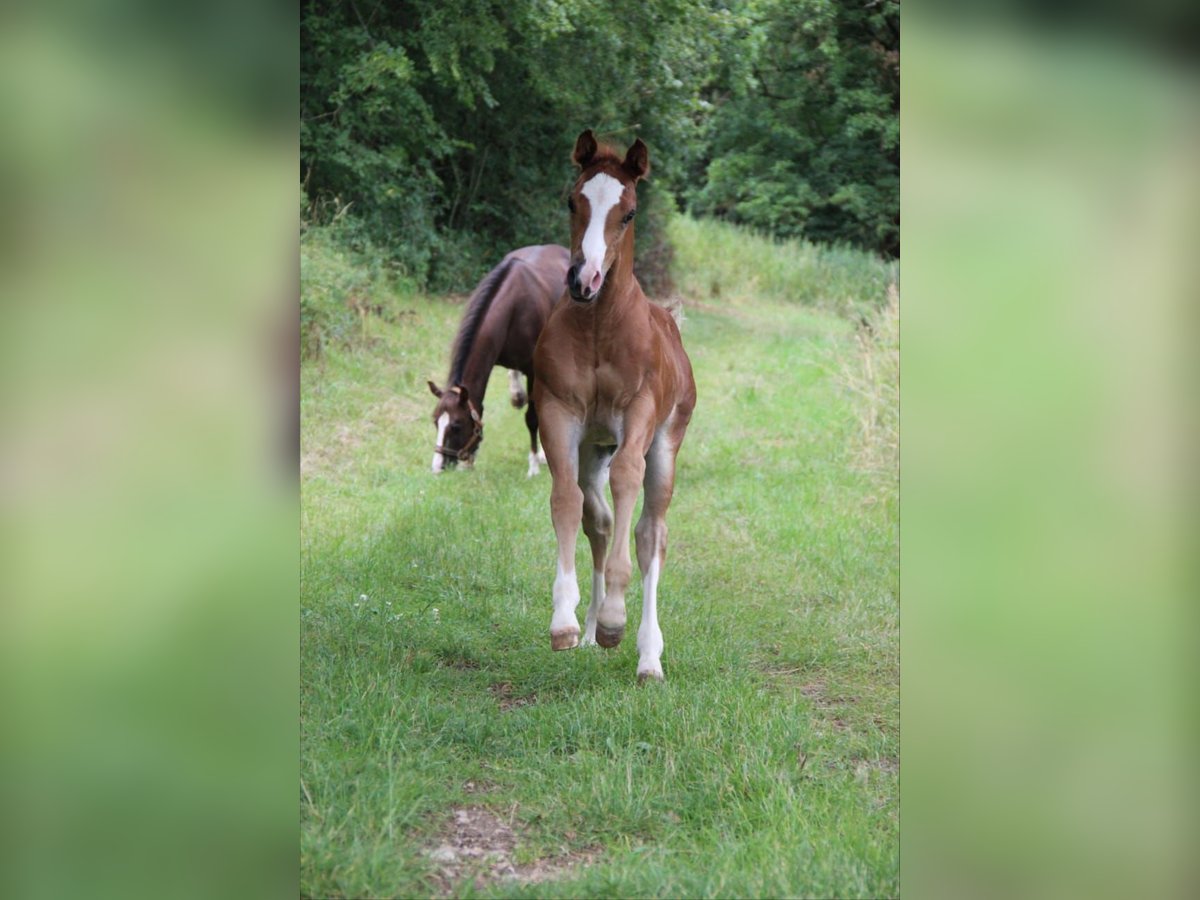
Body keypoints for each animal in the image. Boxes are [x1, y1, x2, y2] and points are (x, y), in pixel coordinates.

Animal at [427, 243, 566, 475]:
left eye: (456, 425)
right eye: (436, 422)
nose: (437, 467)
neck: (514, 307)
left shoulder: (534, 371)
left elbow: (533, 417)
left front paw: (533, 464)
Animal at [532, 132, 696, 681]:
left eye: (628, 212)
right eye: (572, 200)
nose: (584, 279)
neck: (600, 327)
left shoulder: (638, 413)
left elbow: (628, 485)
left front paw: (614, 621)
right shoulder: (558, 412)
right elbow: (566, 500)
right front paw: (565, 621)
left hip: (665, 444)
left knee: (650, 534)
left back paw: (647, 655)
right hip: (593, 448)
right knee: (598, 520)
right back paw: (588, 630)